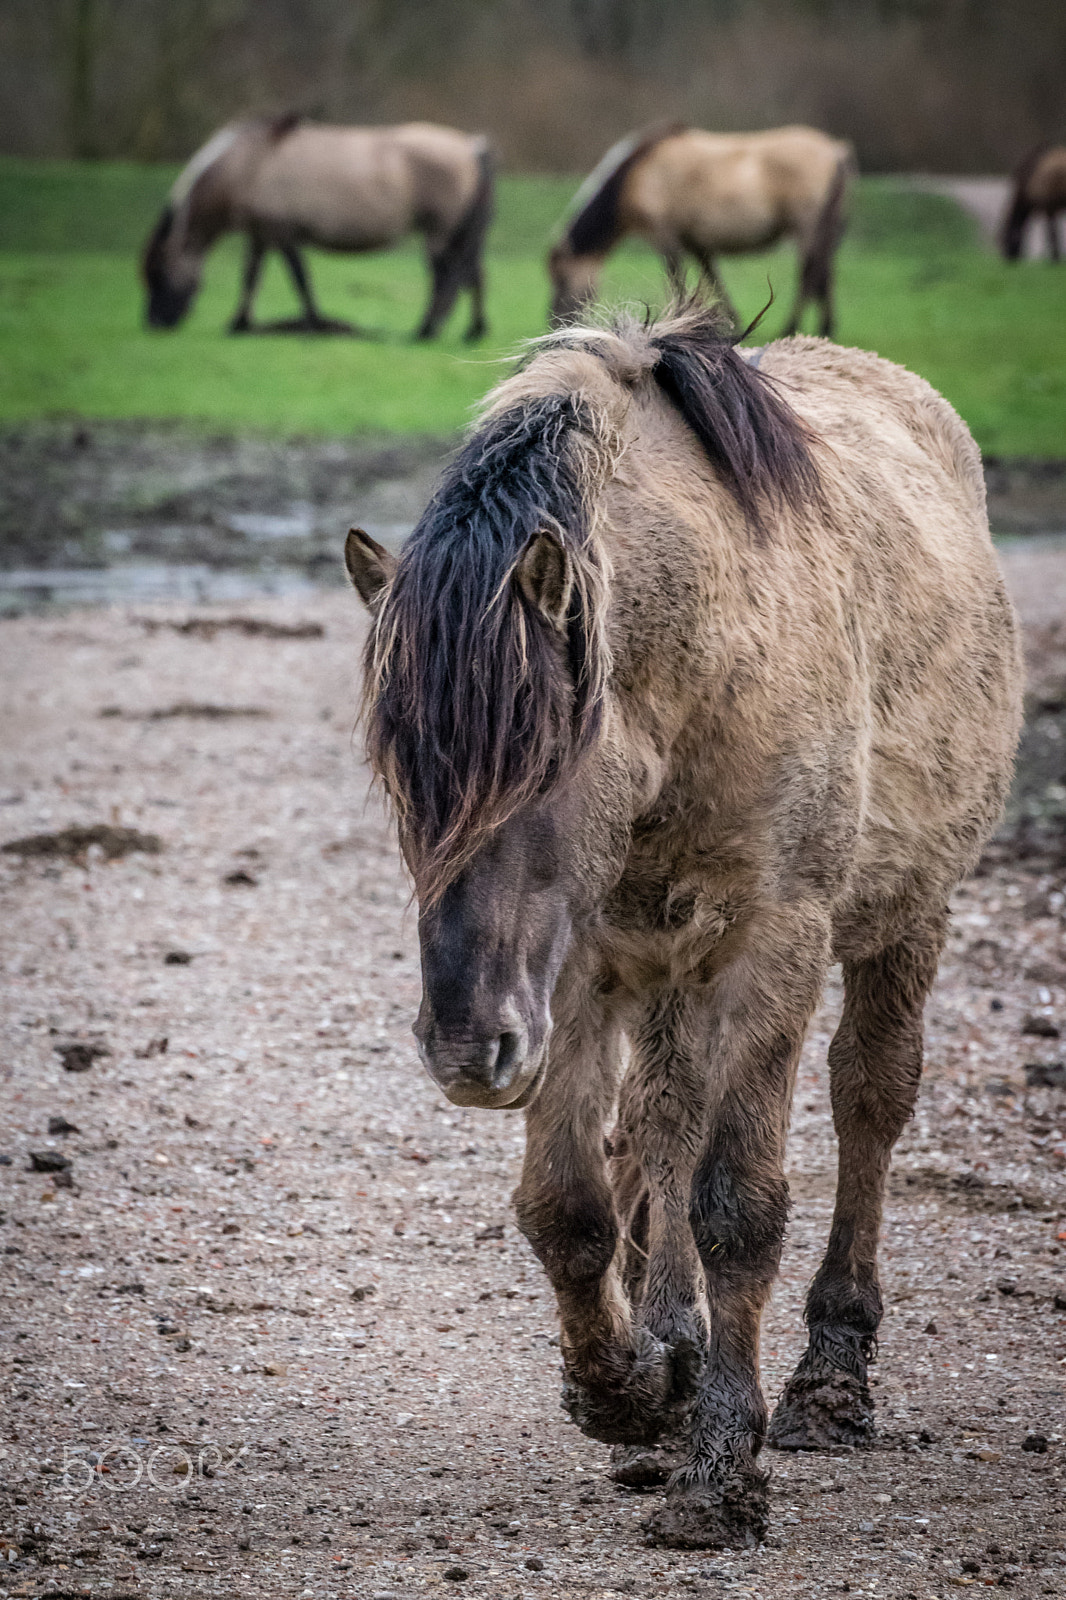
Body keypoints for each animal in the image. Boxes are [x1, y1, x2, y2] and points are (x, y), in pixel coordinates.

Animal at [142, 115, 494, 340]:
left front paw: (314, 324)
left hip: (440, 231)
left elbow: (299, 278)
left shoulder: (281, 231)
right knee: (473, 272)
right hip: (457, 232)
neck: (249, 164)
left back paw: (427, 330)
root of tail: (470, 145)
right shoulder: (260, 234)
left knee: (444, 277)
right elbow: (251, 276)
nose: (154, 322)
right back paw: (473, 331)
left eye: (158, 275)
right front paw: (239, 323)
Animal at [345, 303, 1021, 1549]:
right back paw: (673, 1340)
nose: (464, 1051)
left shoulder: (770, 941)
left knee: (868, 1099)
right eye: (405, 783)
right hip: (656, 967)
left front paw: (719, 1471)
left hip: (901, 918)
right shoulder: (577, 966)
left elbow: (737, 1205)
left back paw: (828, 1382)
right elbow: (571, 1202)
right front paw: (628, 1388)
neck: (710, 646)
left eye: (541, 768)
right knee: (660, 1118)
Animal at [547, 124, 854, 336]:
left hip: (806, 227)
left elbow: (676, 279)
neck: (637, 175)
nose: (553, 322)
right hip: (825, 229)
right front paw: (730, 321)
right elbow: (713, 277)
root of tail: (835, 150)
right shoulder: (695, 240)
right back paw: (826, 326)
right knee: (825, 273)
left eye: (561, 277)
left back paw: (792, 326)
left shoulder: (665, 236)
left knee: (809, 274)